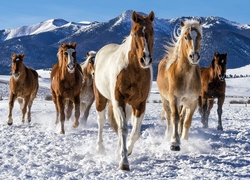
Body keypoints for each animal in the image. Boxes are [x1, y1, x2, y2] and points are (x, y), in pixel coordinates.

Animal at [157, 19, 202, 151]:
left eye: (200, 37)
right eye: (186, 37)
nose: (194, 56)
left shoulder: (192, 101)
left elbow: (187, 121)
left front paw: (184, 139)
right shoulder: (174, 99)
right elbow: (175, 118)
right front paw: (175, 142)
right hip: (165, 100)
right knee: (168, 118)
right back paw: (167, 135)